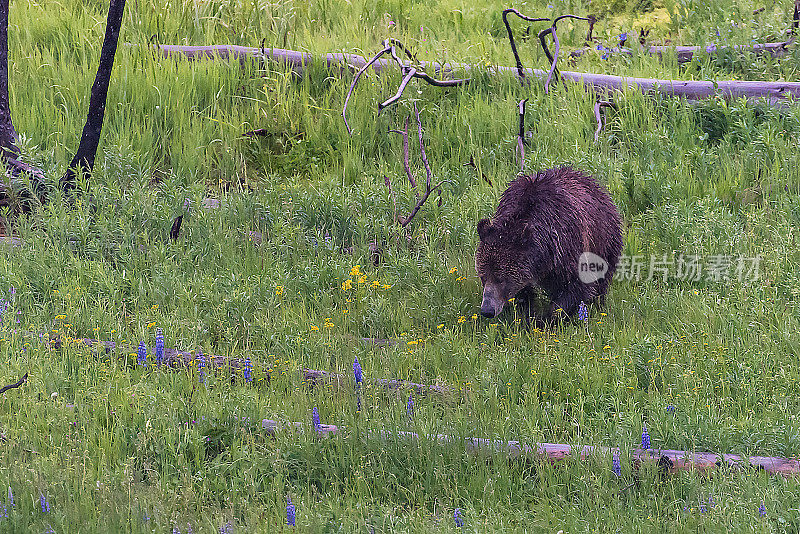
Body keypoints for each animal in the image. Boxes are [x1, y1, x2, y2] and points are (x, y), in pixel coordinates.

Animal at [476, 165, 624, 324]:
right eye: (483, 276)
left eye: (501, 279)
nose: (487, 310)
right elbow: (525, 293)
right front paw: (528, 314)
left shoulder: (567, 246)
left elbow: (575, 286)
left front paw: (548, 319)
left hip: (604, 239)